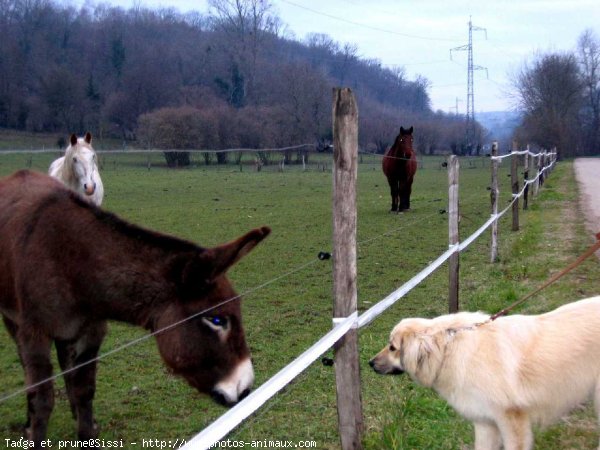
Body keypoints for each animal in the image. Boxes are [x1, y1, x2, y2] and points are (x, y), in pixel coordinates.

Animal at [0, 170, 270, 446]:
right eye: (217, 321)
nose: (246, 388)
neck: (72, 264)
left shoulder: (92, 332)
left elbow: (85, 389)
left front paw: (85, 428)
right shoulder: (34, 334)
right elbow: (42, 400)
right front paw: (34, 430)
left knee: (66, 365)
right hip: (13, 320)